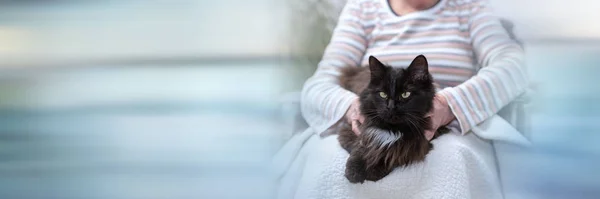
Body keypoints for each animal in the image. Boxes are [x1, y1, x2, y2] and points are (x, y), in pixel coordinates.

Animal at [336, 54, 448, 183]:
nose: (390, 107)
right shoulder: (355, 127)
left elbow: (394, 153)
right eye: (383, 94)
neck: (392, 129)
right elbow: (360, 145)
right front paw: (354, 170)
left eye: (405, 94)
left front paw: (375, 170)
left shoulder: (419, 143)